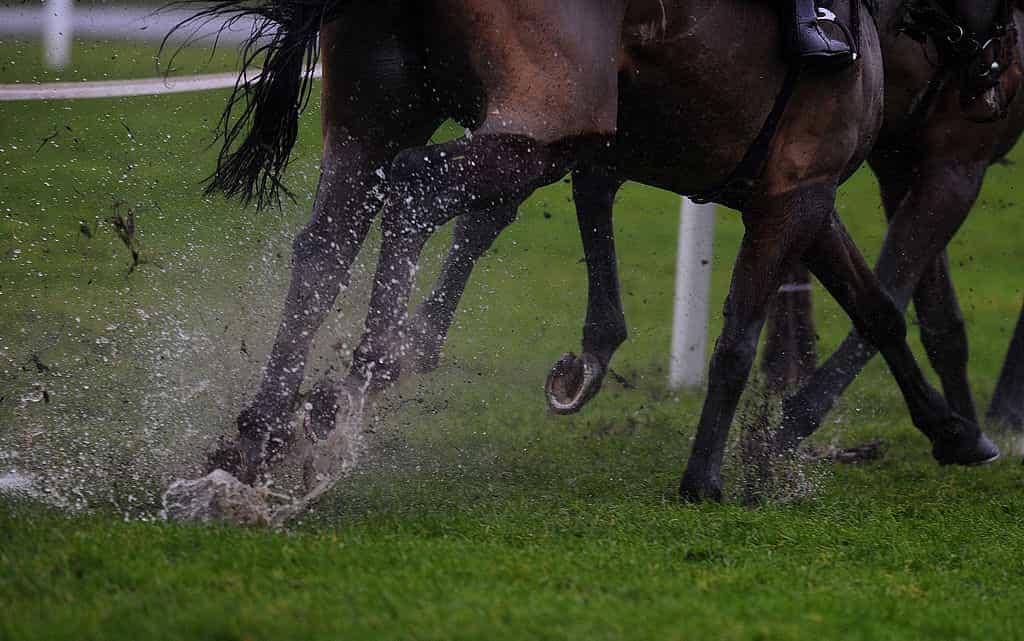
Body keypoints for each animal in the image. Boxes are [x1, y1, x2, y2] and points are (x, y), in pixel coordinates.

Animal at [181, 0, 998, 501]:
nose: (994, 72)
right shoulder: (795, 193)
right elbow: (740, 335)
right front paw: (705, 475)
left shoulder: (805, 196)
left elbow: (878, 310)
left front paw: (956, 431)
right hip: (541, 122)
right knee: (417, 189)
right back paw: (359, 379)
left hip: (374, 118)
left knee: (330, 241)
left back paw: (263, 428)